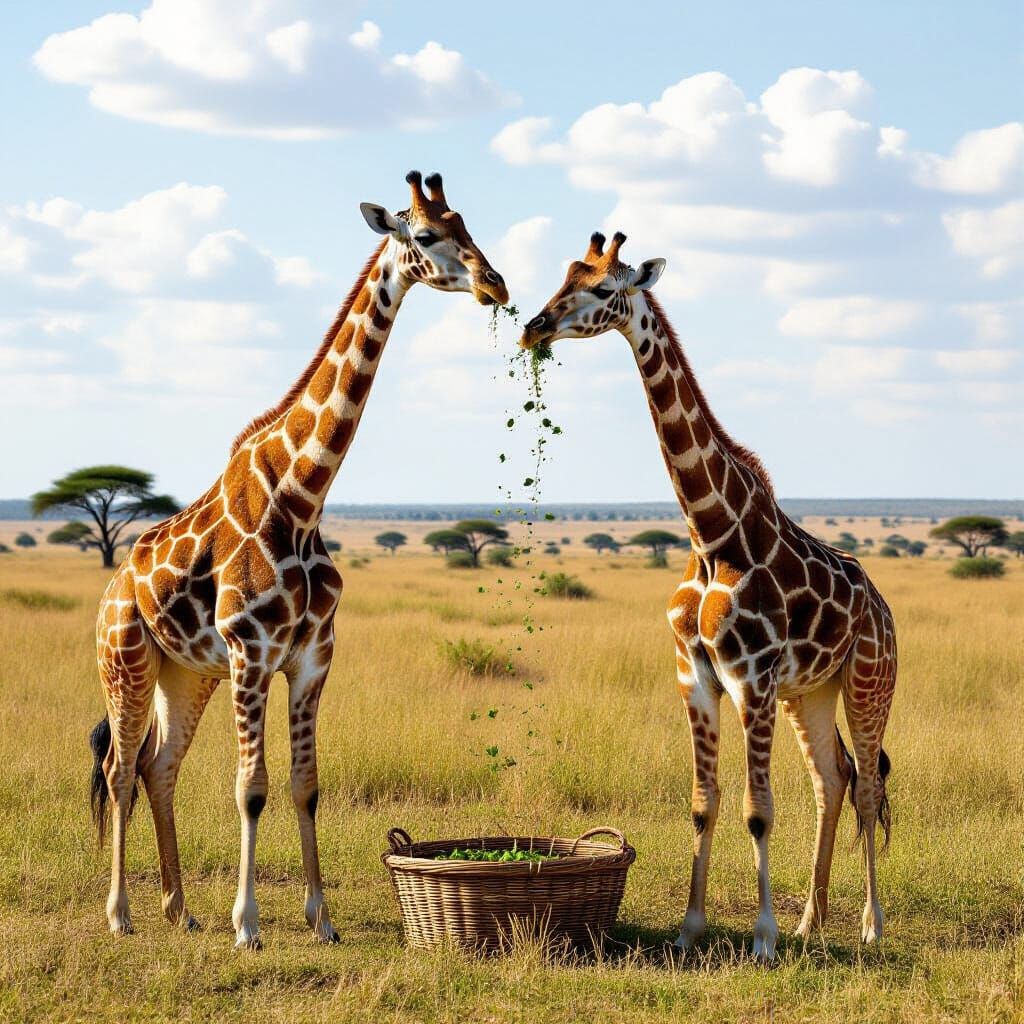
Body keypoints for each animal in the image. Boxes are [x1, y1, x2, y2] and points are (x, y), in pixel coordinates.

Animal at [89, 171, 508, 949]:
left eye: (468, 226)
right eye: (427, 235)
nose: (494, 284)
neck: (302, 495)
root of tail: (111, 589)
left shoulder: (312, 656)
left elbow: (304, 785)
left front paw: (322, 920)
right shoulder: (253, 652)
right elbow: (250, 790)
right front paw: (248, 926)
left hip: (187, 673)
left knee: (160, 768)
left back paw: (178, 908)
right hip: (125, 660)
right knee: (120, 768)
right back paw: (121, 914)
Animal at [520, 231, 895, 960]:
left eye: (603, 289)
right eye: (563, 277)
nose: (534, 327)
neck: (712, 531)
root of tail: (886, 609)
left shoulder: (751, 678)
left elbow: (757, 811)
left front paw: (763, 939)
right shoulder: (693, 674)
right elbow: (705, 803)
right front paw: (691, 930)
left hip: (869, 680)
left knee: (866, 788)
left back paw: (869, 926)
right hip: (811, 691)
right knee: (832, 780)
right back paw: (812, 921)